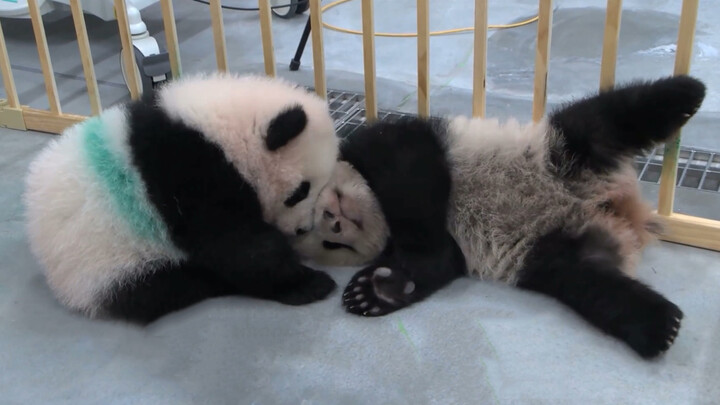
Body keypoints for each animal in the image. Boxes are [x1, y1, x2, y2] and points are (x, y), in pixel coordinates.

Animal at [25, 72, 340, 322]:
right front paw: (307, 283)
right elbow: (236, 245)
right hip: (105, 261)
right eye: (300, 191)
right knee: (163, 290)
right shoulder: (191, 175)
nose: (302, 229)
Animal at [294, 75, 708, 356]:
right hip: (550, 252)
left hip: (560, 153)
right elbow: (441, 262)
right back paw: (659, 324)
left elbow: (408, 167)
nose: (334, 219)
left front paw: (380, 285)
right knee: (589, 281)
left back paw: (686, 93)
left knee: (603, 120)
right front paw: (378, 291)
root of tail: (618, 214)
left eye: (316, 198)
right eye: (332, 244)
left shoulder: (395, 148)